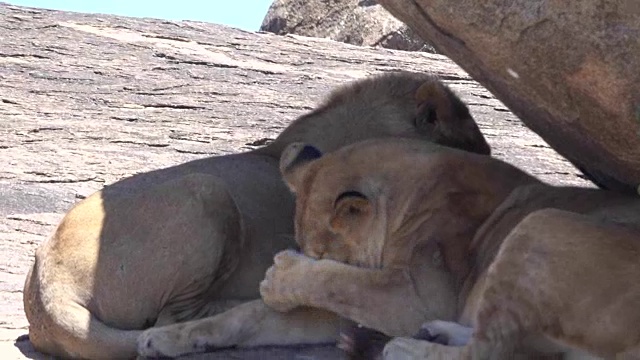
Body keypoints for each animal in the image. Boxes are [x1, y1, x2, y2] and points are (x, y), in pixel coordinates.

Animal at [258, 137, 640, 358]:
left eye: (320, 254)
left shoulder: (423, 295)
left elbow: (337, 282)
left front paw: (277, 280)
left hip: (541, 225)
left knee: (491, 352)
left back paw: (404, 348)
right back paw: (435, 334)